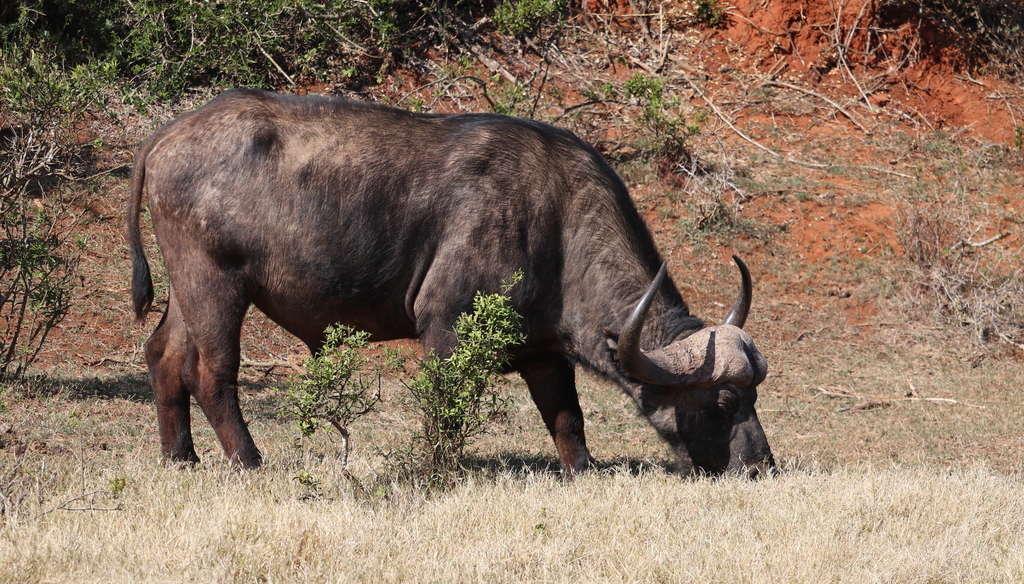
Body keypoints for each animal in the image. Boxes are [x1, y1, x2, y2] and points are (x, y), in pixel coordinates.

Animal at [127, 89, 775, 477]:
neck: (557, 222)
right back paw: (249, 460)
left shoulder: (544, 353)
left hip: (188, 287)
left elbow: (567, 418)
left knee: (163, 354)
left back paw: (179, 458)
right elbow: (445, 409)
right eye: (722, 401)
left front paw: (582, 471)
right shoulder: (444, 327)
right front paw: (442, 469)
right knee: (212, 372)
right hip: (217, 285)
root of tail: (167, 134)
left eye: (754, 398)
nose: (761, 465)